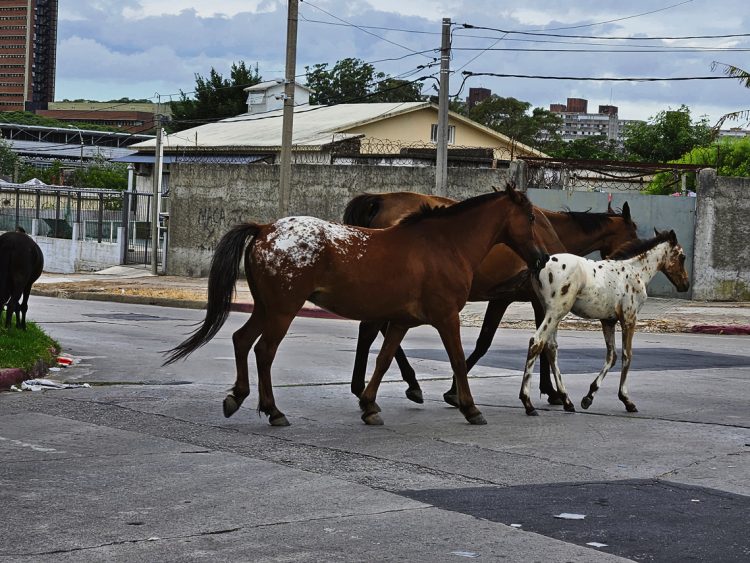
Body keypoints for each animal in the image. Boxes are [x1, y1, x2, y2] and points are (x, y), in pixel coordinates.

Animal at [164, 185, 550, 427]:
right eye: (531, 218)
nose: (543, 257)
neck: (443, 243)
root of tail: (264, 229)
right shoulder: (445, 317)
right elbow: (456, 360)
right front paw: (469, 408)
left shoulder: (401, 321)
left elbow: (383, 359)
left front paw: (369, 404)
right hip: (283, 310)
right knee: (264, 351)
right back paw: (273, 410)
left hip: (266, 307)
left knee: (242, 341)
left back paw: (238, 397)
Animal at [342, 191, 639, 407]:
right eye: (634, 233)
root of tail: (379, 199)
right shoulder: (531, 300)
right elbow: (511, 343)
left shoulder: (507, 299)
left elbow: (501, 341)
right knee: (373, 328)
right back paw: (400, 383)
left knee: (373, 329)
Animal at [519, 229, 690, 416]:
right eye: (682, 257)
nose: (686, 285)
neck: (636, 271)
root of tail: (540, 264)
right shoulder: (629, 318)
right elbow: (627, 355)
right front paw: (627, 400)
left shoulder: (608, 321)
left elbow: (612, 356)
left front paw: (588, 397)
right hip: (556, 311)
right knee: (537, 342)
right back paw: (528, 403)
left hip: (550, 312)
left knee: (550, 348)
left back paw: (567, 401)